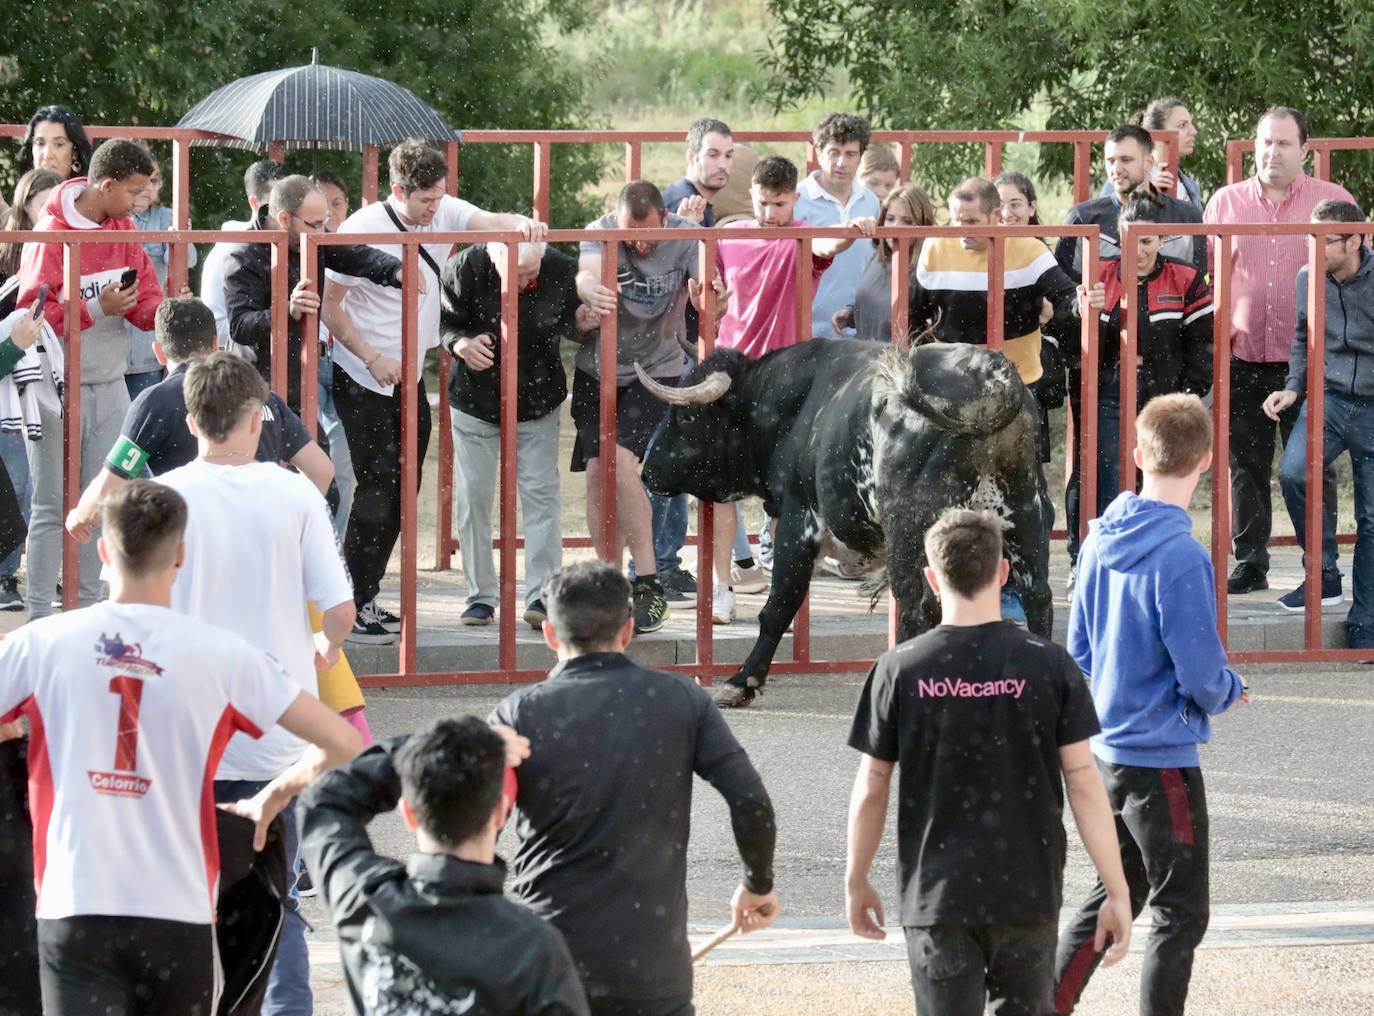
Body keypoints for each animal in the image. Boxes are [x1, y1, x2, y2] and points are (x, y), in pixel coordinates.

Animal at [637, 339, 1044, 709]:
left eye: (688, 417)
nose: (646, 471)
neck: (793, 405)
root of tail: (987, 375)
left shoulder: (798, 523)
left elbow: (779, 605)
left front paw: (742, 681)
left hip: (911, 529)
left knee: (919, 607)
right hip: (1025, 519)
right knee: (1037, 599)